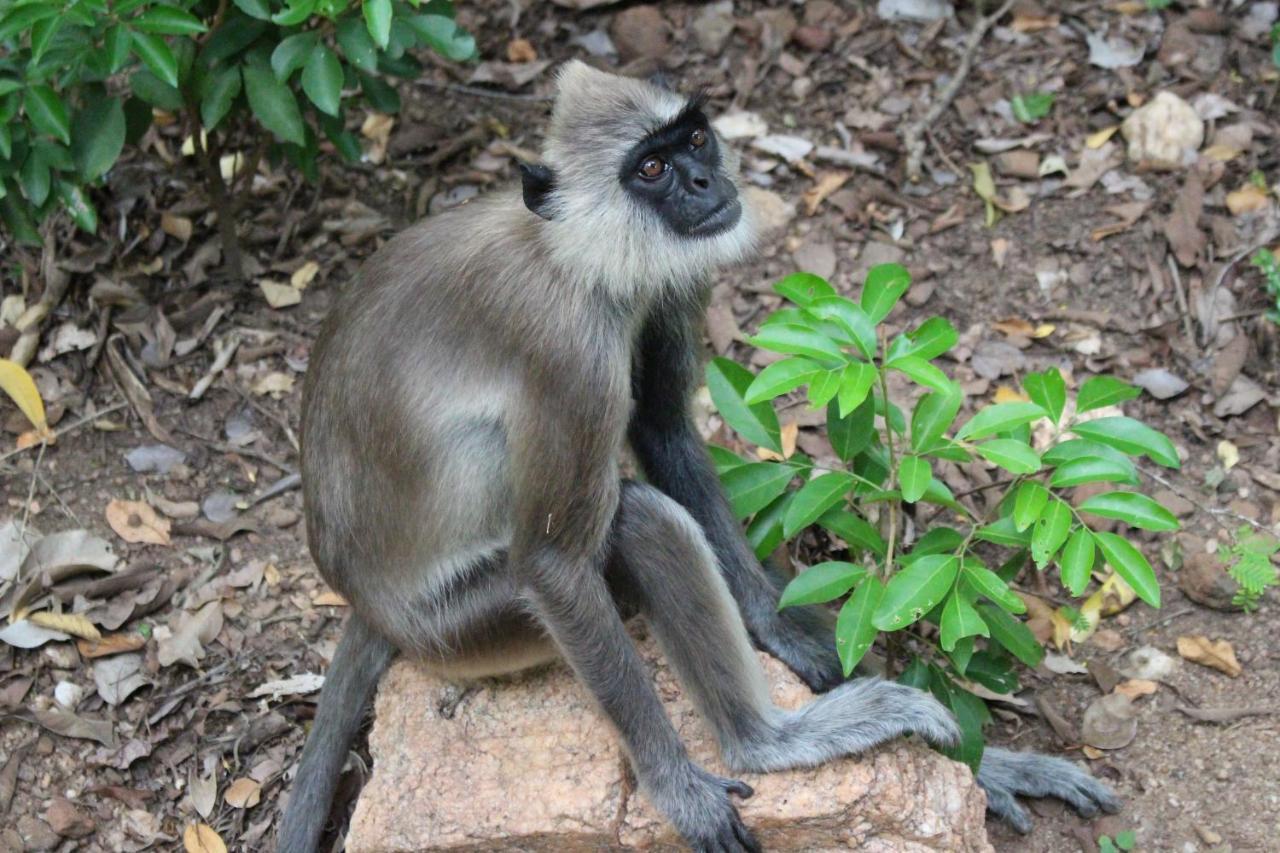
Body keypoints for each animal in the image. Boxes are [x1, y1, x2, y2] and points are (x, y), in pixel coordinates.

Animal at [280, 61, 1121, 850]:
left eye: (692, 143)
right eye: (650, 169)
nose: (703, 181)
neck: (568, 252)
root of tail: (365, 598)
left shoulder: (659, 286)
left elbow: (662, 431)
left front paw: (784, 631)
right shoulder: (566, 348)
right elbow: (552, 563)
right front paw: (676, 788)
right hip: (463, 628)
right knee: (633, 520)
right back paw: (770, 743)